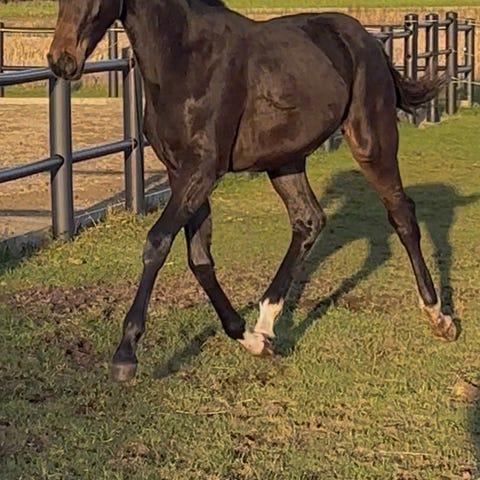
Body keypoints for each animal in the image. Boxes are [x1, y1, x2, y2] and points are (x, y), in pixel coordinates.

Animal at [47, 0, 457, 382]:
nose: (61, 60)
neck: (186, 59)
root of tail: (367, 40)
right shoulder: (182, 175)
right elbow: (200, 259)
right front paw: (250, 339)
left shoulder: (201, 172)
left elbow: (158, 243)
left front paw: (125, 354)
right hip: (285, 161)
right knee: (309, 220)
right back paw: (266, 323)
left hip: (371, 140)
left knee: (401, 213)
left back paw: (439, 316)